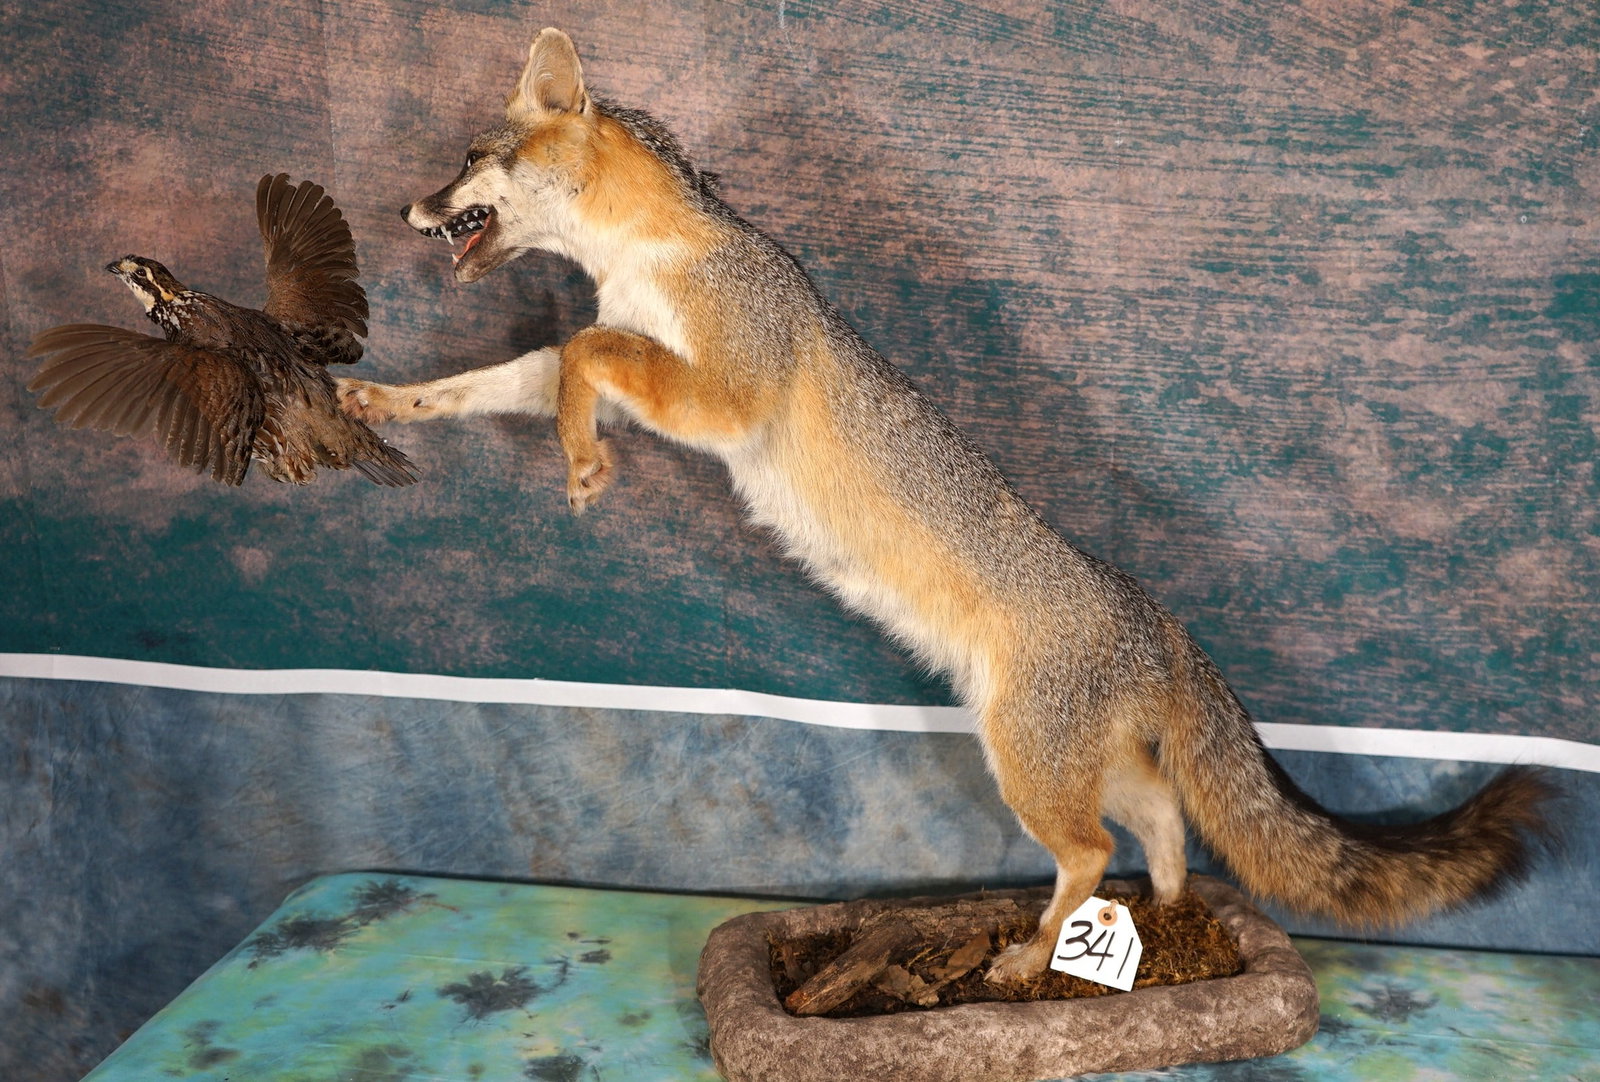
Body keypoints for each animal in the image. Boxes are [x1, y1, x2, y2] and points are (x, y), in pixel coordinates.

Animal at [339, 28, 1555, 980]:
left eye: (464, 162)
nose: (403, 204)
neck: (655, 255)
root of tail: (1151, 611)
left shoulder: (724, 394)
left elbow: (587, 352)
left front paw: (582, 460)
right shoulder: (642, 372)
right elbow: (513, 375)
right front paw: (386, 398)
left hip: (1026, 766)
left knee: (1090, 851)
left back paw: (1035, 955)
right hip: (1072, 760)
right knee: (1162, 827)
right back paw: (1164, 930)